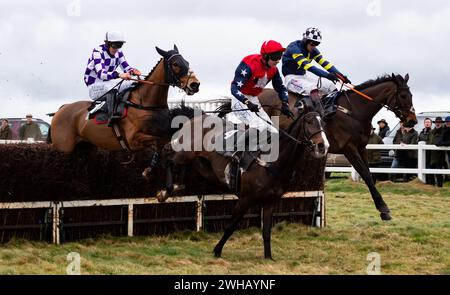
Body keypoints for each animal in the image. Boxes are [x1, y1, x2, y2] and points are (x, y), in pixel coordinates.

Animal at [48, 45, 200, 155]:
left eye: (187, 62)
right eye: (175, 64)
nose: (195, 84)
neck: (144, 103)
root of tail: (62, 108)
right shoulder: (133, 140)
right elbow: (161, 141)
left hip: (86, 146)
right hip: (63, 147)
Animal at [256, 74, 418, 222]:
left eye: (411, 95)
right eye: (403, 95)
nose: (412, 121)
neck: (353, 111)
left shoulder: (362, 148)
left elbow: (369, 174)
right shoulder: (349, 148)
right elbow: (365, 173)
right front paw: (383, 208)